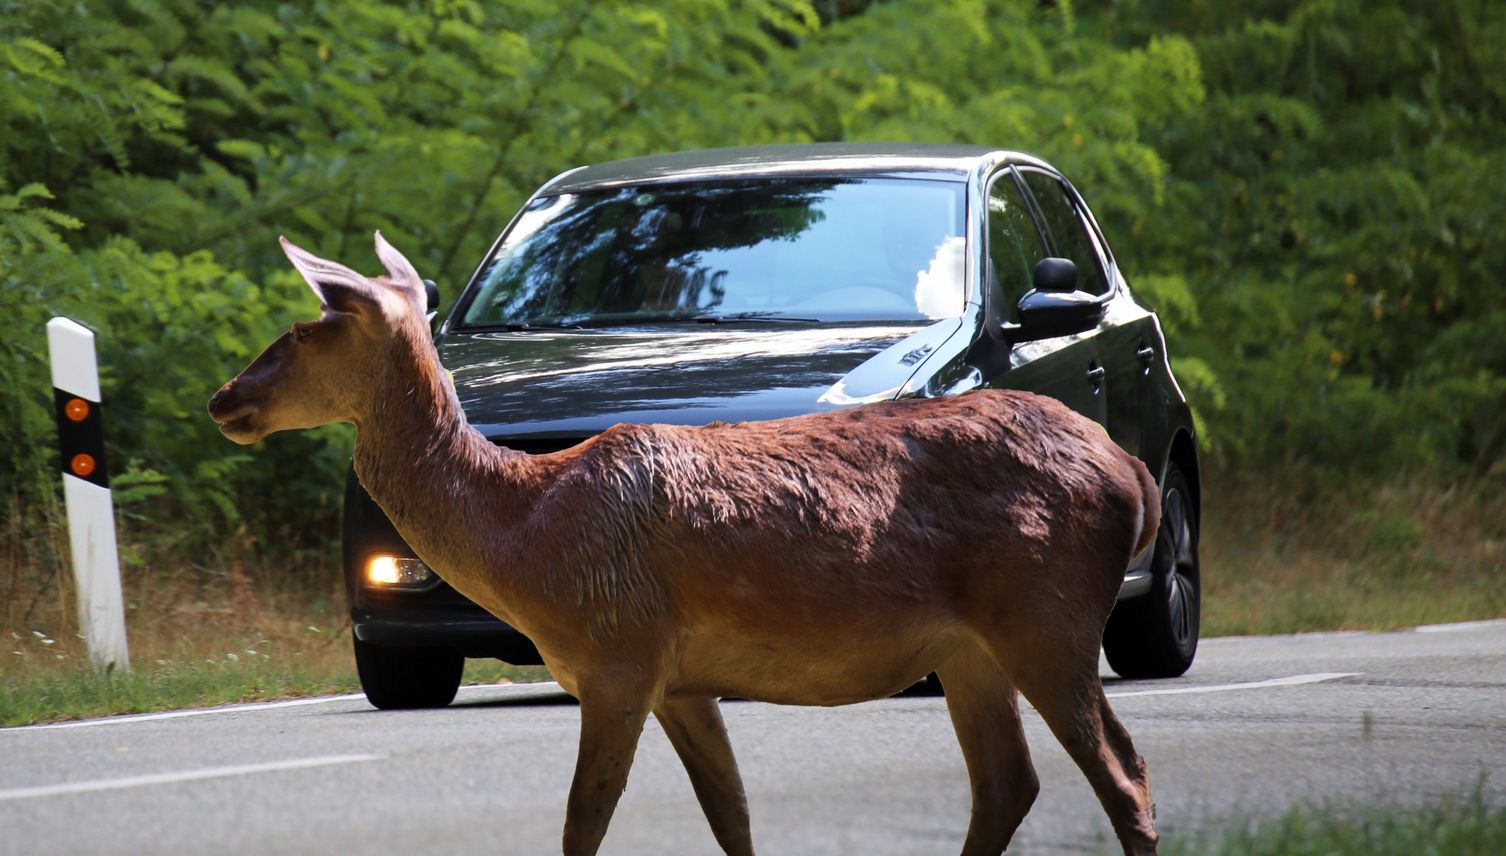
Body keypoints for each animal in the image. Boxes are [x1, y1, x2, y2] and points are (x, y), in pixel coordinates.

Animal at [206, 233, 1156, 856]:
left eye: (307, 329)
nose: (223, 397)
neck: (527, 536)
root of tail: (1132, 473)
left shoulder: (618, 655)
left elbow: (582, 823)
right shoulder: (682, 679)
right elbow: (731, 816)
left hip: (1046, 612)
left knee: (1122, 773)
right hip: (970, 649)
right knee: (1009, 784)